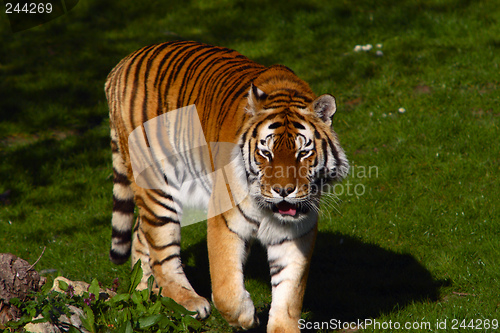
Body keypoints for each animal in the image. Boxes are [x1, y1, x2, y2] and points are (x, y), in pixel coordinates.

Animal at [105, 41, 348, 332]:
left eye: (303, 153)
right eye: (266, 153)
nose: (283, 191)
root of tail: (123, 63)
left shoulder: (295, 232)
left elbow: (289, 291)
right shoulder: (225, 220)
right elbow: (225, 288)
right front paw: (246, 317)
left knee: (142, 234)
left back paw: (143, 291)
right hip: (157, 182)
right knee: (162, 252)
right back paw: (188, 301)